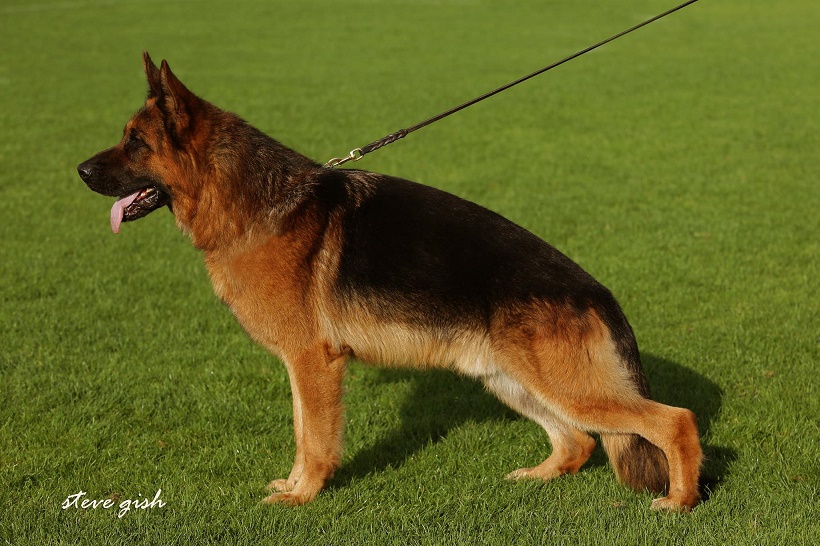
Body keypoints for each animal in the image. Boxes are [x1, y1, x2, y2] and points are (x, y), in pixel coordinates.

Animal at [77, 53, 700, 508]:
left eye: (135, 142)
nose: (79, 170)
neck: (248, 201)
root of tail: (600, 293)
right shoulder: (302, 365)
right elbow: (302, 431)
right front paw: (295, 485)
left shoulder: (313, 362)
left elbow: (315, 437)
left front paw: (303, 496)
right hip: (509, 379)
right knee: (576, 441)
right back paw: (538, 477)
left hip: (564, 386)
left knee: (674, 420)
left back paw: (679, 502)